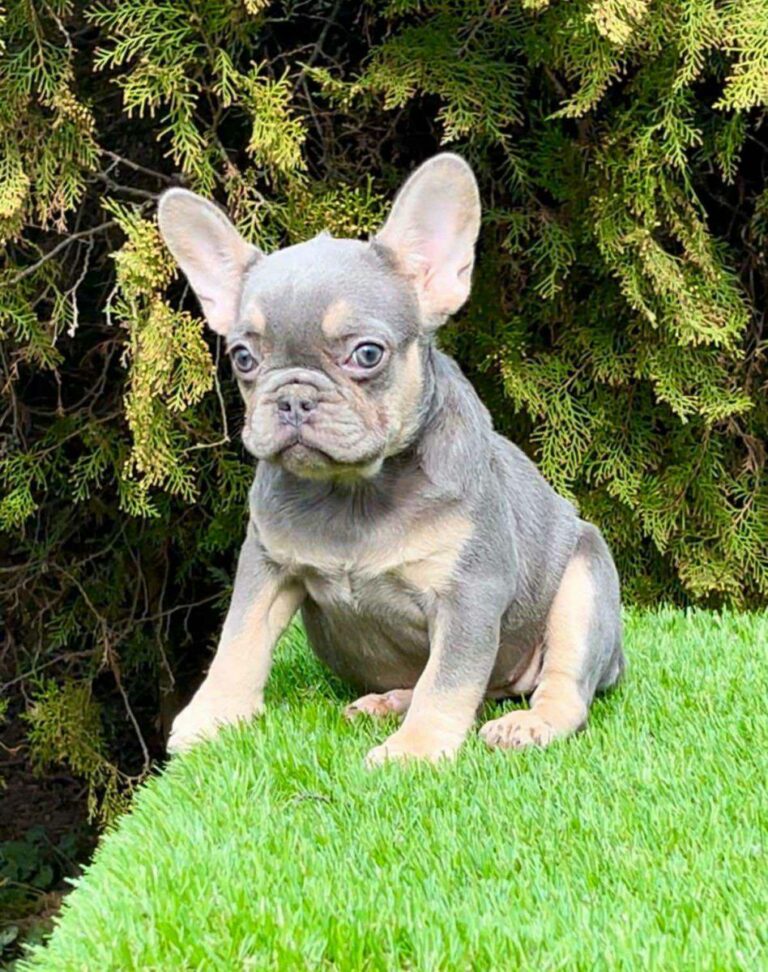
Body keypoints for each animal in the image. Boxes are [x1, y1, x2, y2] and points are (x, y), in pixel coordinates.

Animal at [157, 154, 624, 763]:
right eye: (243, 358)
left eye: (366, 354)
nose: (292, 397)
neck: (354, 490)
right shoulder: (265, 567)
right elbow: (239, 642)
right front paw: (213, 715)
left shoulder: (469, 591)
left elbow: (449, 677)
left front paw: (417, 750)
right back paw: (390, 701)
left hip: (583, 587)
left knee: (564, 687)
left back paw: (529, 723)